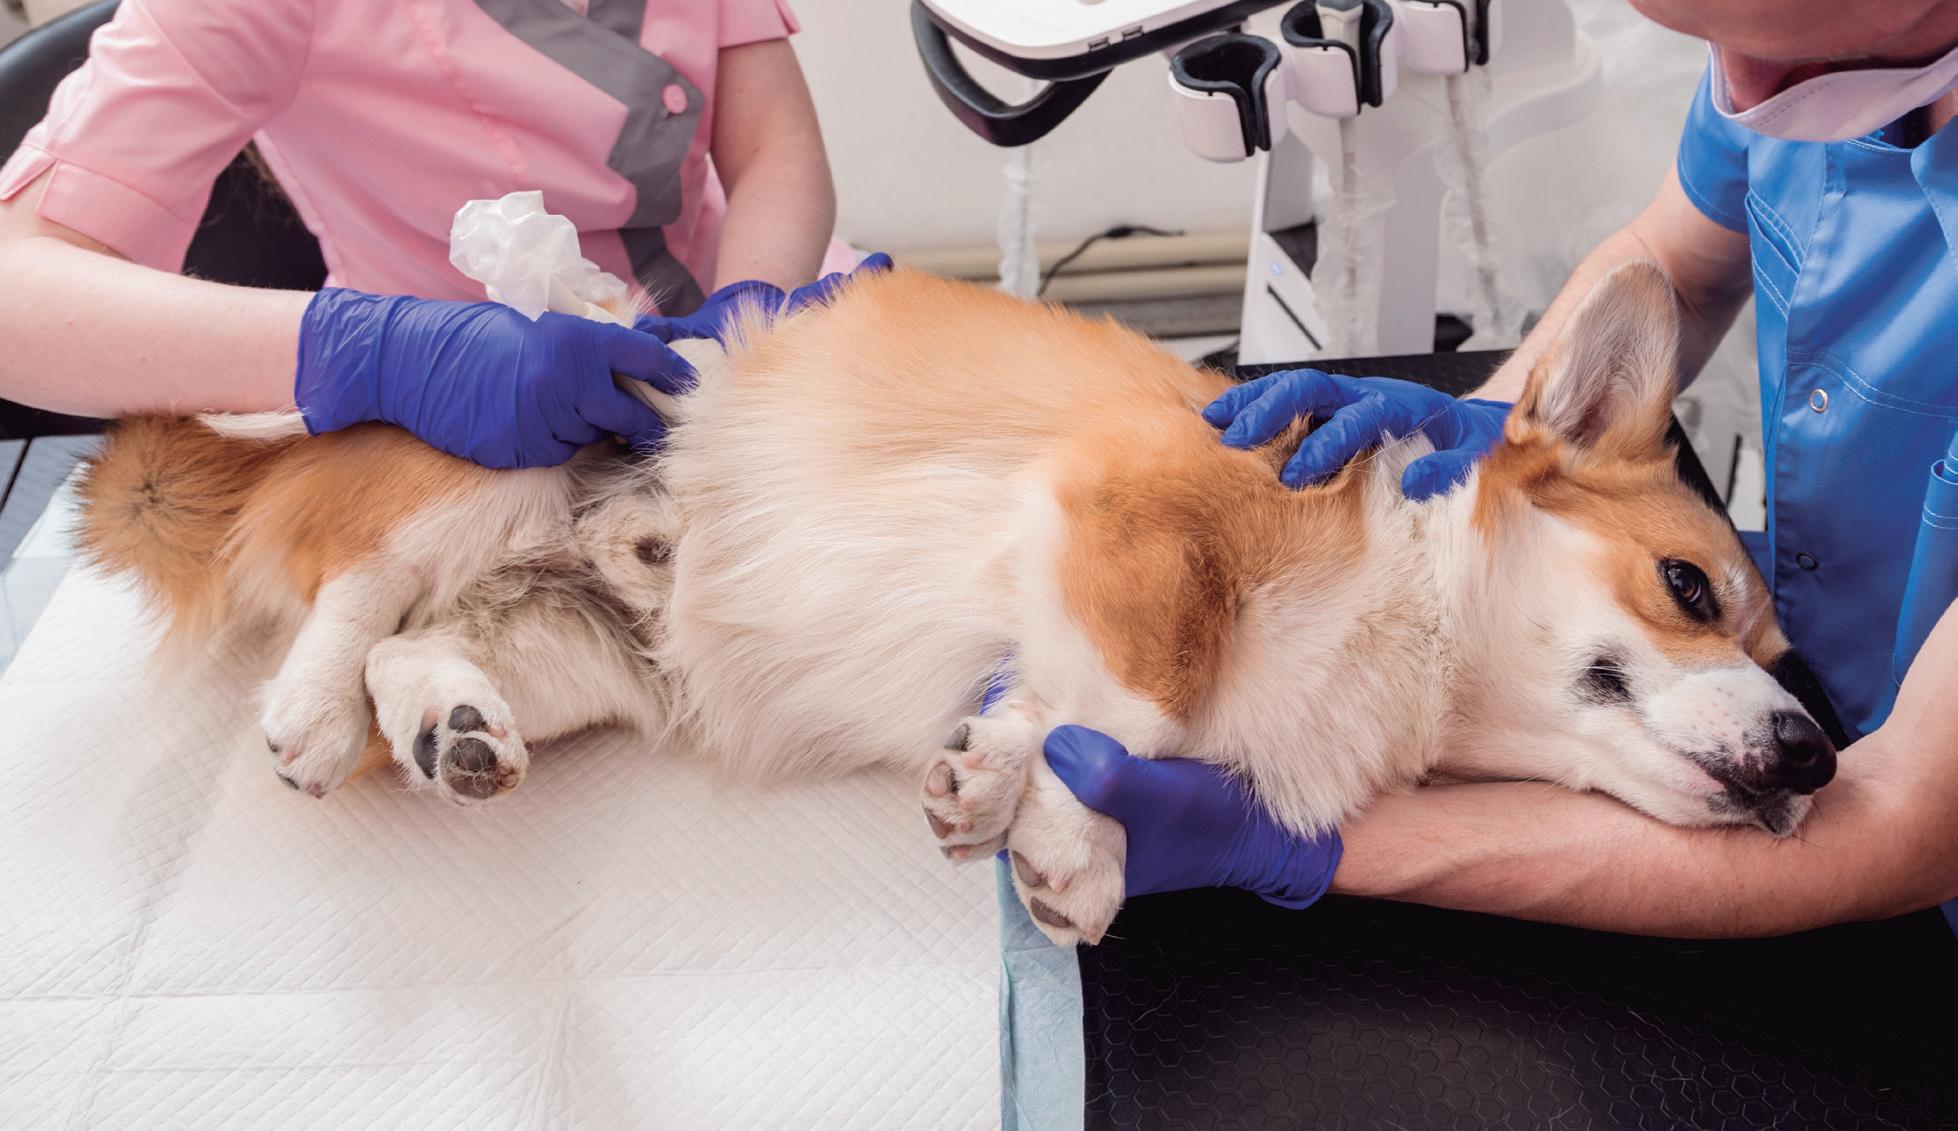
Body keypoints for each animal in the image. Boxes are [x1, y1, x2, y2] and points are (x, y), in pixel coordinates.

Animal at [74, 260, 1834, 945]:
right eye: (1688, 584)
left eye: (1786, 658)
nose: (1819, 755)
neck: (1402, 625)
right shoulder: (1124, 517)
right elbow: (1139, 701)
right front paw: (1046, 820)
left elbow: (1076, 721)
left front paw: (1035, 805)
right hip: (505, 448)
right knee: (358, 586)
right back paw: (312, 705)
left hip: (589, 648)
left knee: (430, 644)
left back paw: (452, 725)